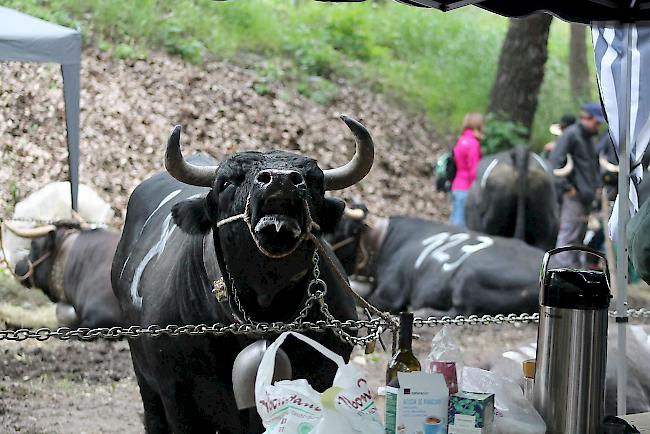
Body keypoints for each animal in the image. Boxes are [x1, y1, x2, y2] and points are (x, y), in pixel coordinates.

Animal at [112, 116, 372, 434]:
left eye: (316, 184)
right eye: (226, 182)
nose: (281, 182)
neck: (264, 306)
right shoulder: (177, 395)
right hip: (145, 380)